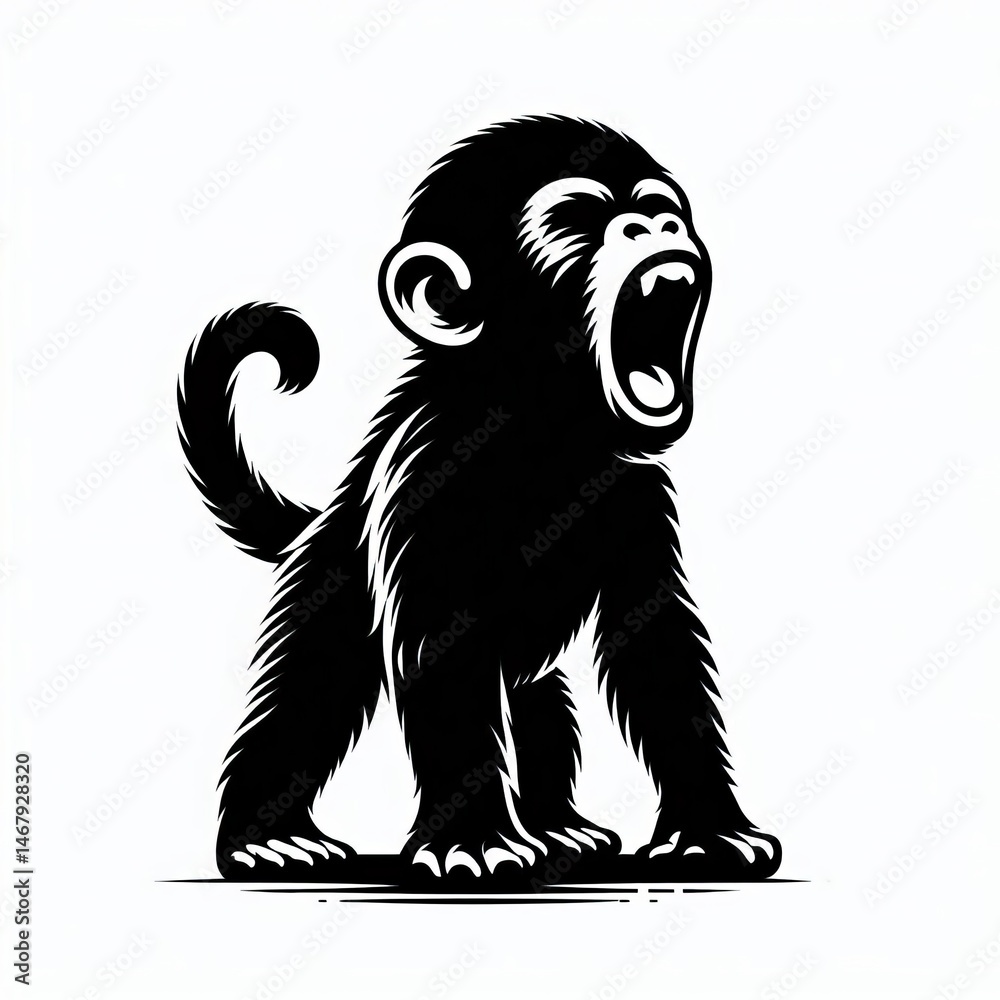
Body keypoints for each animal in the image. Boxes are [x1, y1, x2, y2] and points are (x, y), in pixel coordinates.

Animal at [177, 116, 781, 882]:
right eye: (575, 220)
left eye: (662, 209)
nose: (655, 226)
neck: (542, 430)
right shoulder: (429, 473)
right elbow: (444, 648)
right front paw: (475, 839)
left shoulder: (638, 493)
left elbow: (653, 640)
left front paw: (711, 827)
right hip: (329, 578)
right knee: (309, 687)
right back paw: (267, 836)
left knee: (538, 705)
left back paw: (557, 826)